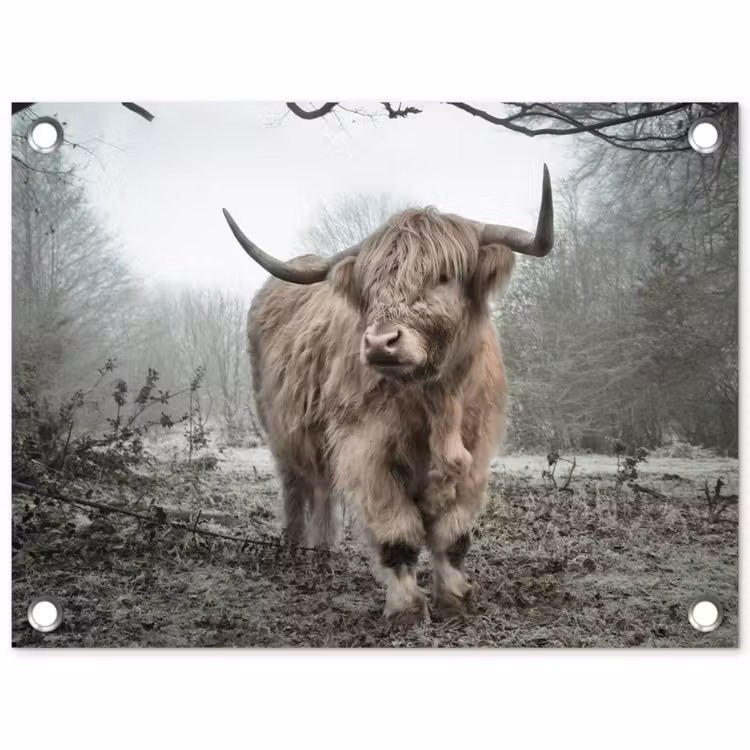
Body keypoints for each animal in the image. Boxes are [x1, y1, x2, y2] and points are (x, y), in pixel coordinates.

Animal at [222, 166, 553, 627]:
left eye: (443, 276)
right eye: (372, 284)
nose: (381, 343)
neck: (437, 400)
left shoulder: (476, 452)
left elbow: (453, 536)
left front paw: (455, 600)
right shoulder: (366, 450)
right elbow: (397, 534)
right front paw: (407, 610)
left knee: (322, 489)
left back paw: (324, 551)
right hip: (279, 430)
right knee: (296, 486)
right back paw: (294, 549)